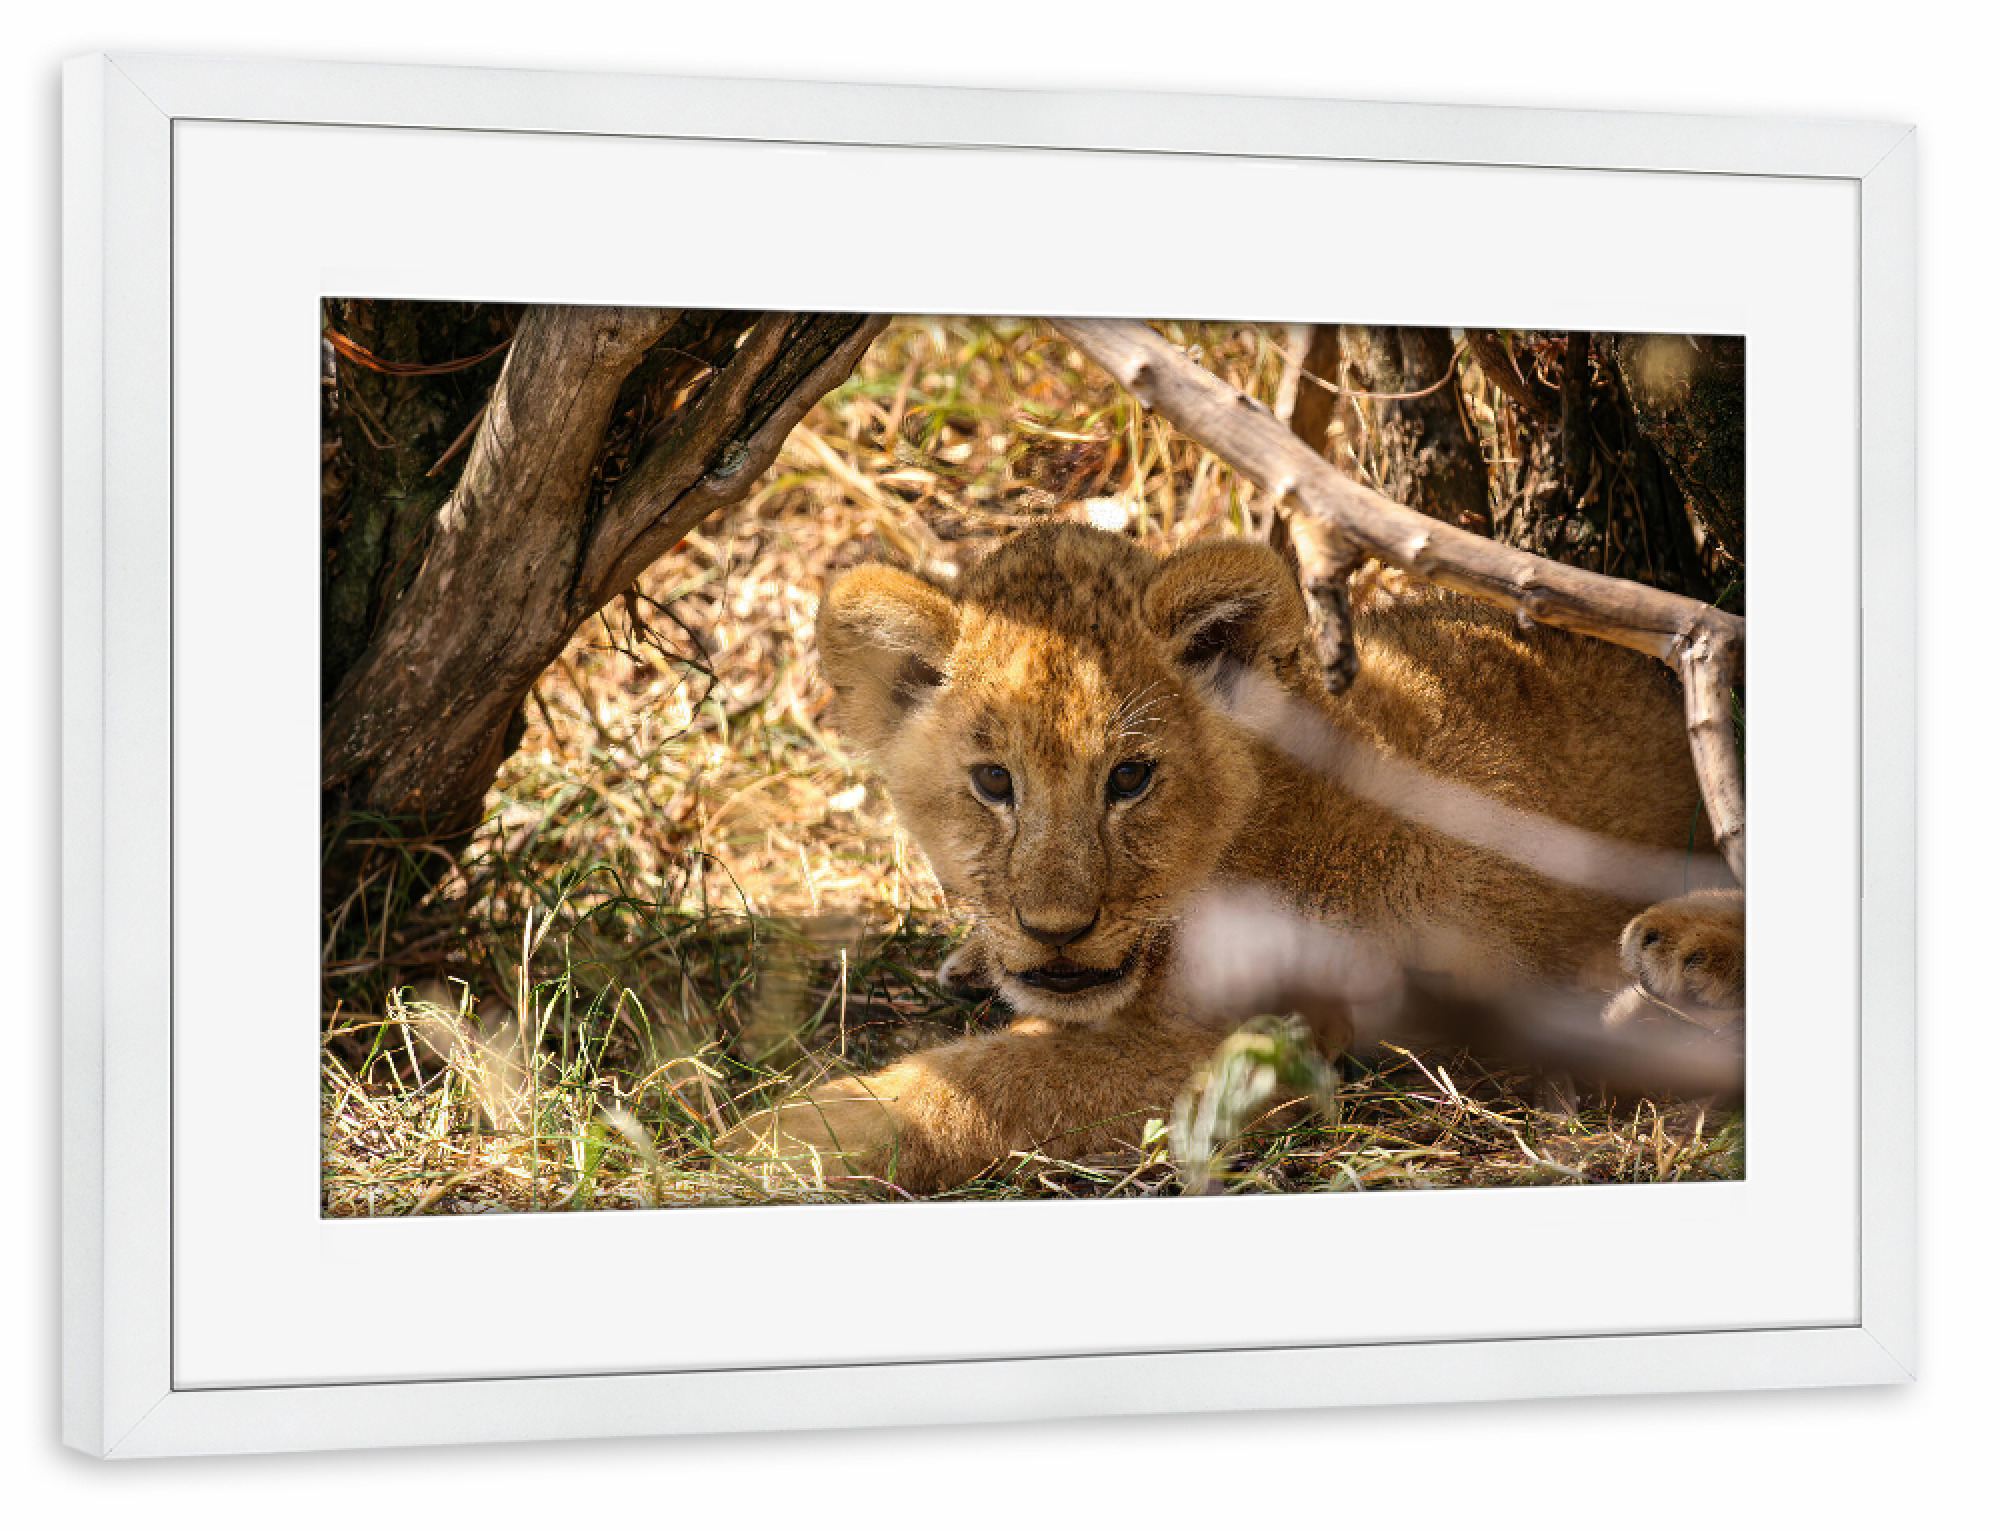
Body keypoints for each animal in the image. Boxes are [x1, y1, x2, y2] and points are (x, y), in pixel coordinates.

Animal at [725, 522, 1744, 1192]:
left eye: (1130, 777)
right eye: (992, 781)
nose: (1056, 930)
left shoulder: (1242, 1041)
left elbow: (990, 1085)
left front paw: (773, 1140)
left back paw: (1675, 960)